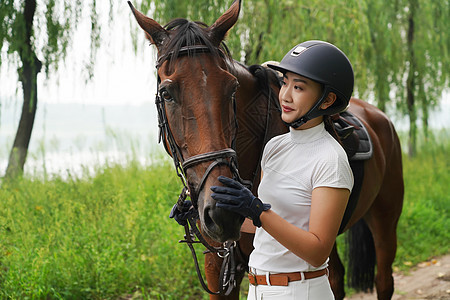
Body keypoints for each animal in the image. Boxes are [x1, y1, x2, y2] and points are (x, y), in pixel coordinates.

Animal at [127, 1, 404, 298]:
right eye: (167, 93)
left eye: (232, 88)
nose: (223, 214)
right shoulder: (219, 268)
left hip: (385, 221)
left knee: (383, 279)